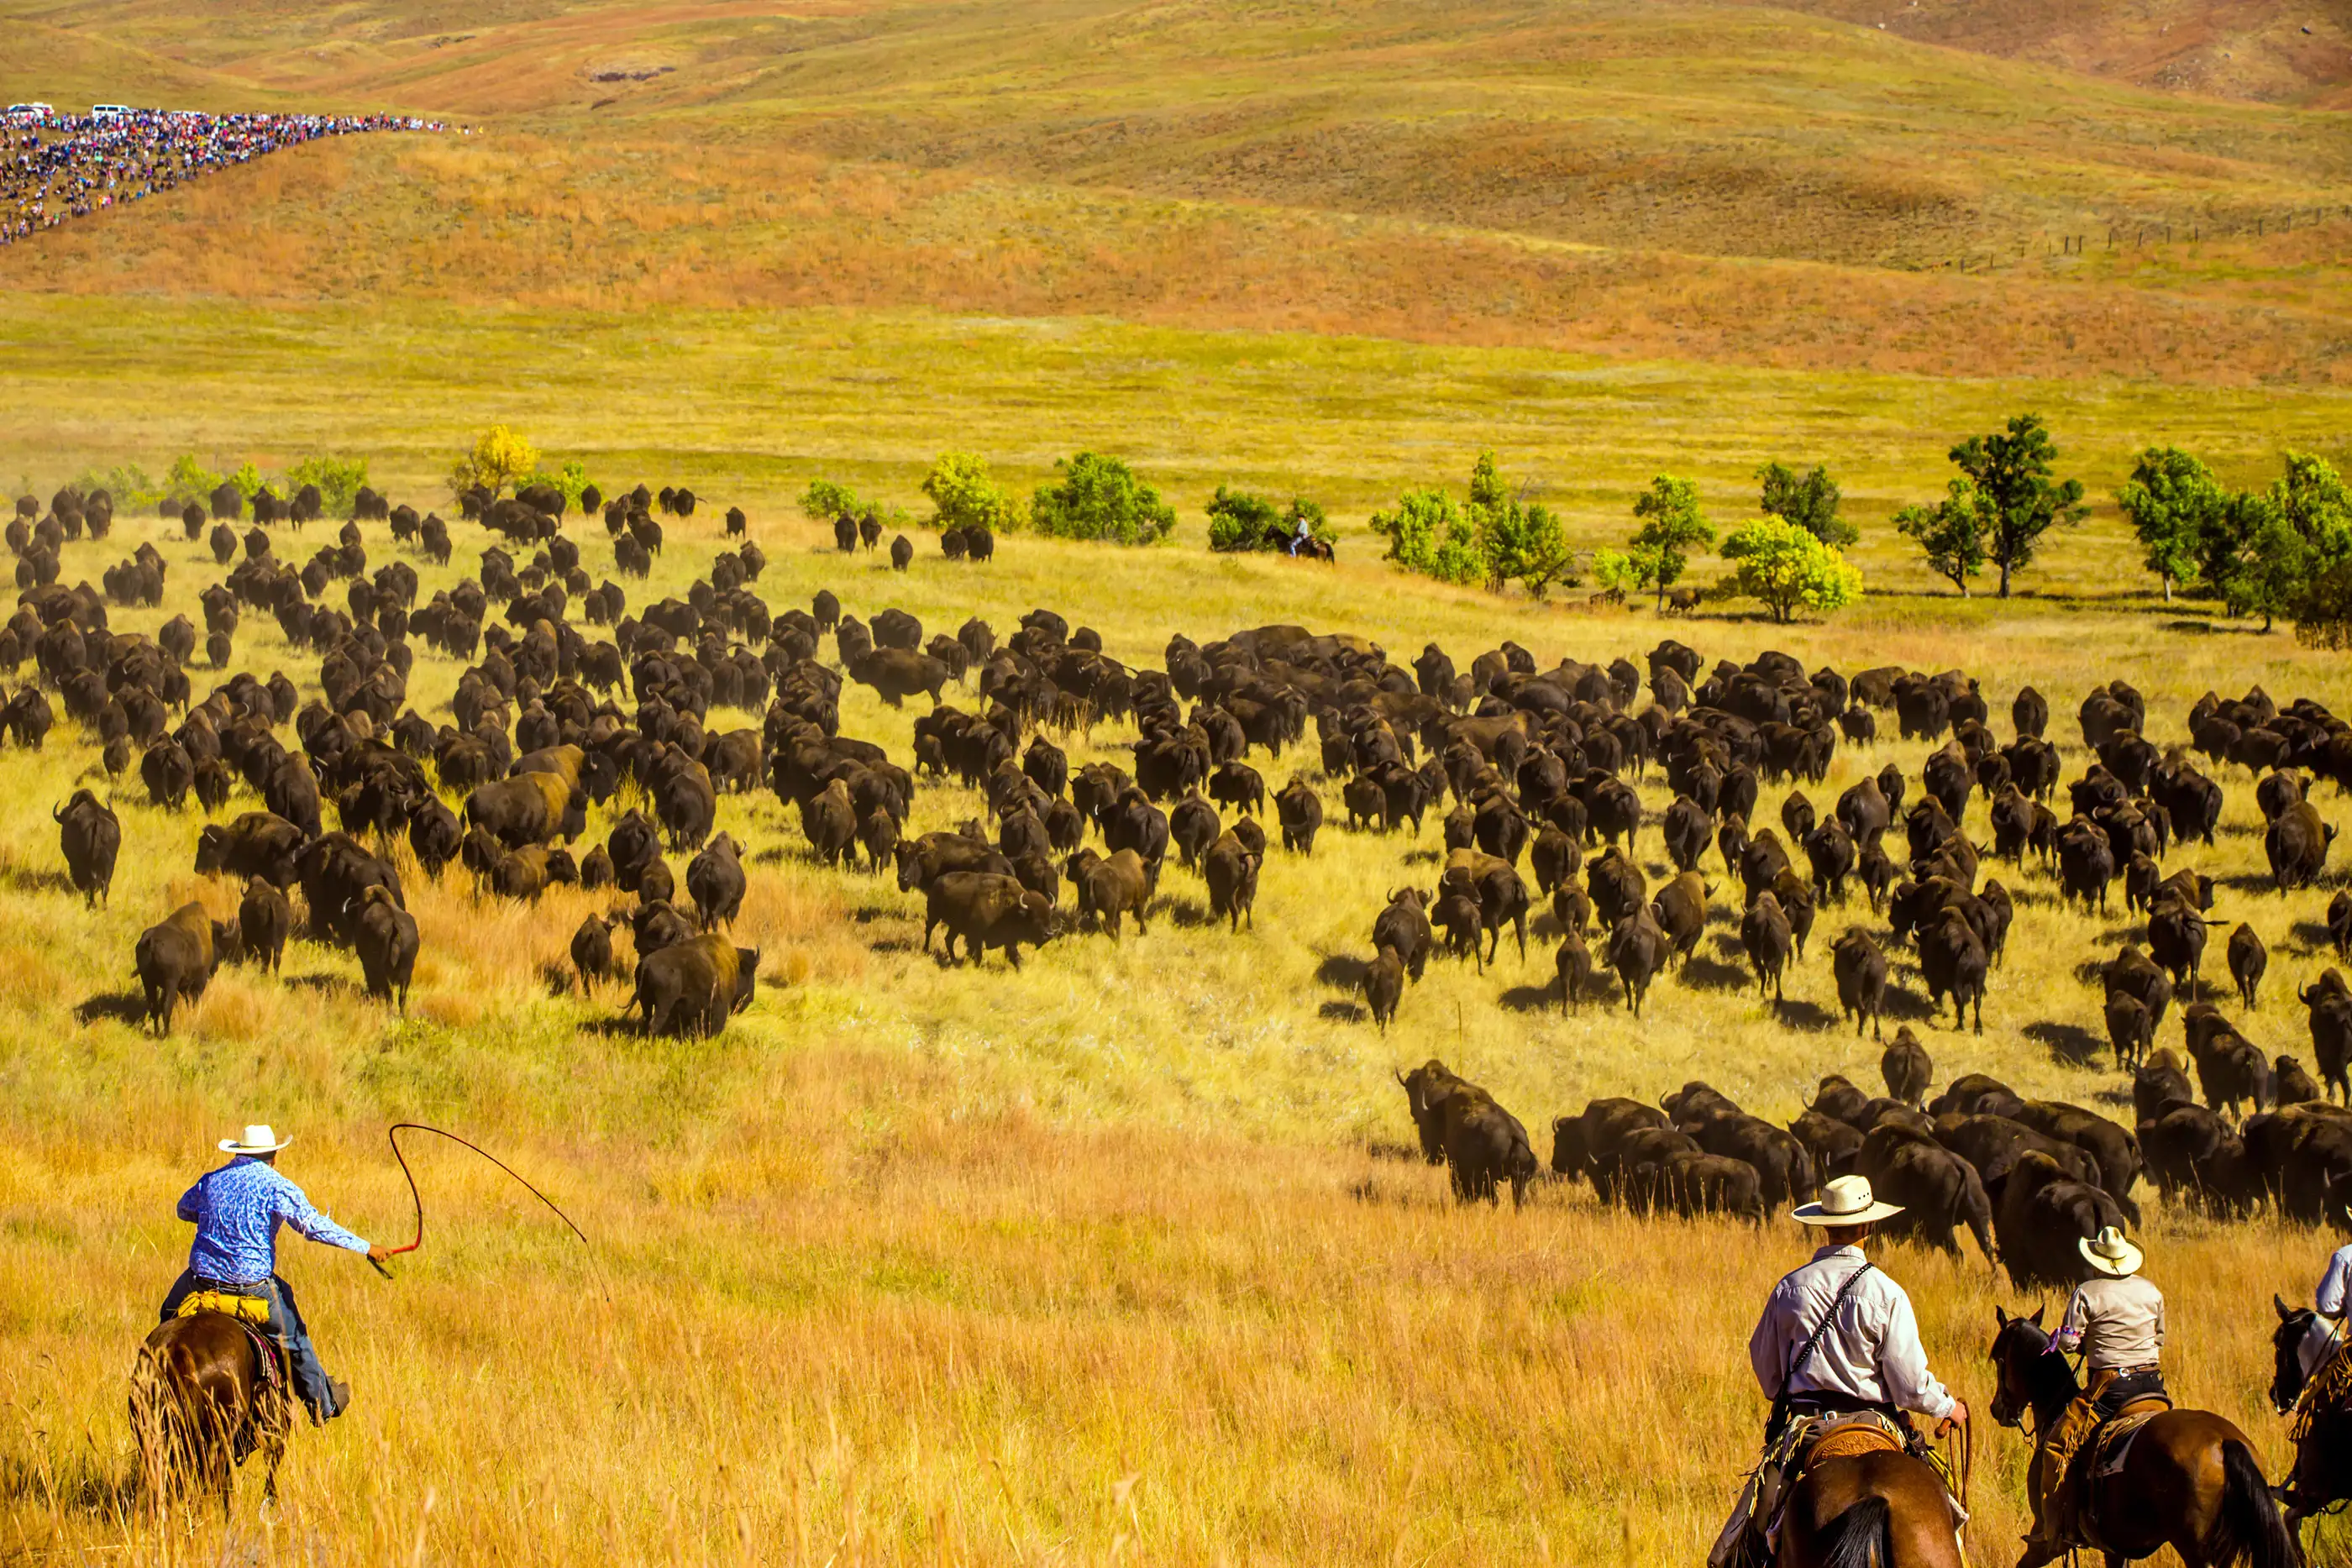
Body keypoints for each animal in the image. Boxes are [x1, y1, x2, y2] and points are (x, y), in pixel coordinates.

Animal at [1985, 1307, 2295, 1568]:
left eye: (1998, 1359)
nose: (1996, 1408)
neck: (2056, 1404)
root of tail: (2224, 1442)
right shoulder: (2113, 1548)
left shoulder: (2045, 1541)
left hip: (2197, 1552)